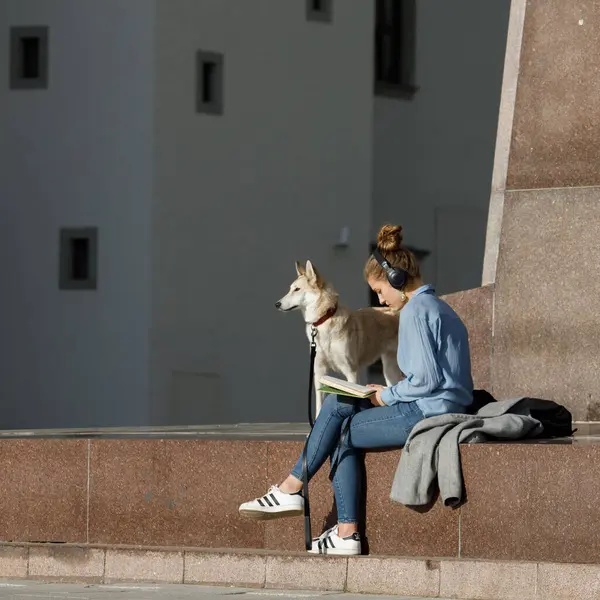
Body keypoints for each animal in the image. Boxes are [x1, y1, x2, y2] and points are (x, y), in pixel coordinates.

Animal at [276, 260, 404, 410]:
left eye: (297, 289)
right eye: (290, 289)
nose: (276, 304)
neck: (325, 319)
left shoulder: (351, 372)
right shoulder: (319, 372)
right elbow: (319, 407)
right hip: (389, 370)